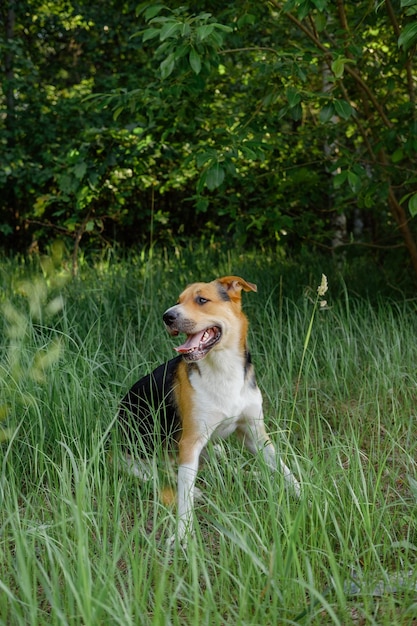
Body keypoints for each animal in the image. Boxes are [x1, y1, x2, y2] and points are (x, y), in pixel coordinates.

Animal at [117, 276, 300, 544]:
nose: (167, 317)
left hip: (217, 448)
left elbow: (284, 469)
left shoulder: (255, 433)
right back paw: (199, 491)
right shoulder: (190, 443)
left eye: (202, 299)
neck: (223, 369)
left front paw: (306, 494)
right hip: (136, 460)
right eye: (178, 300)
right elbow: (184, 497)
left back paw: (251, 475)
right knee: (163, 476)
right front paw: (182, 535)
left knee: (225, 468)